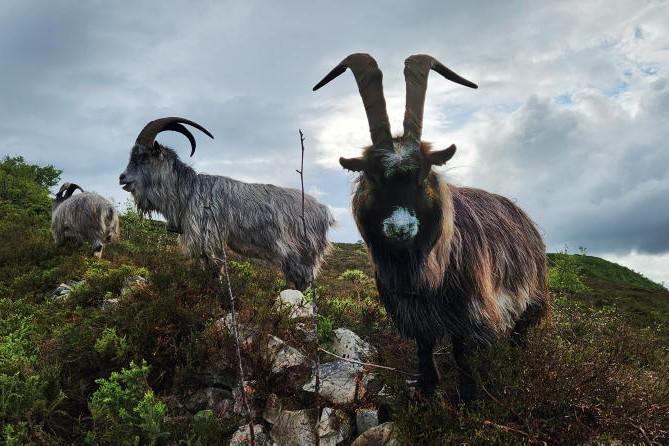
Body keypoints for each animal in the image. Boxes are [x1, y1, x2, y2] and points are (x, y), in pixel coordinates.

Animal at [118, 117, 334, 290]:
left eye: (143, 157)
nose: (122, 178)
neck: (188, 191)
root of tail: (324, 212)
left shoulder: (208, 236)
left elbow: (215, 269)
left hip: (301, 254)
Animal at [313, 54, 549, 401]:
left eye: (423, 174)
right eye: (372, 175)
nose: (401, 228)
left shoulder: (468, 309)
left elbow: (462, 352)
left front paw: (468, 397)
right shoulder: (411, 310)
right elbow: (424, 346)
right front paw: (426, 387)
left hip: (530, 298)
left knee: (519, 334)